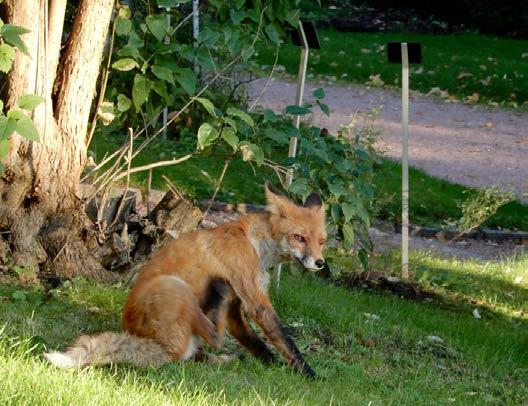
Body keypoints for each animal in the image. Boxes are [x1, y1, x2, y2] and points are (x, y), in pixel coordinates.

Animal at [45, 184, 326, 378]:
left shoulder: (238, 305)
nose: (320, 263)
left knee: (204, 348)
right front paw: (308, 373)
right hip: (174, 286)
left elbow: (255, 342)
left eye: (321, 241)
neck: (254, 243)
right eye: (299, 238)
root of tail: (156, 345)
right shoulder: (253, 298)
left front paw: (272, 365)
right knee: (213, 338)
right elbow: (284, 340)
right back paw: (218, 295)